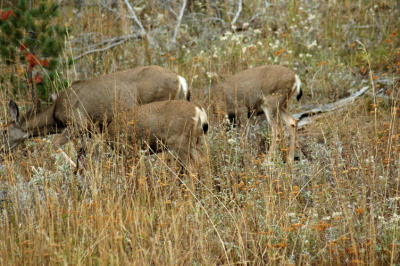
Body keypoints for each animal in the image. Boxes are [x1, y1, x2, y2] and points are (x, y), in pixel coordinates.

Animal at [0, 65, 190, 153]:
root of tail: (181, 80)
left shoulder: (78, 123)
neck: (54, 115)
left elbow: (54, 145)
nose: (2, 149)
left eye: (4, 131)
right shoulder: (88, 132)